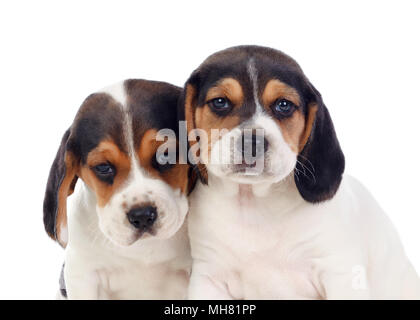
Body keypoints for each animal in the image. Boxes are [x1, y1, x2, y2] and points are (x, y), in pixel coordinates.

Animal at [180, 45, 420, 300]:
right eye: (220, 102)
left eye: (283, 105)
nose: (252, 142)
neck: (253, 202)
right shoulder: (208, 278)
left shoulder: (341, 273)